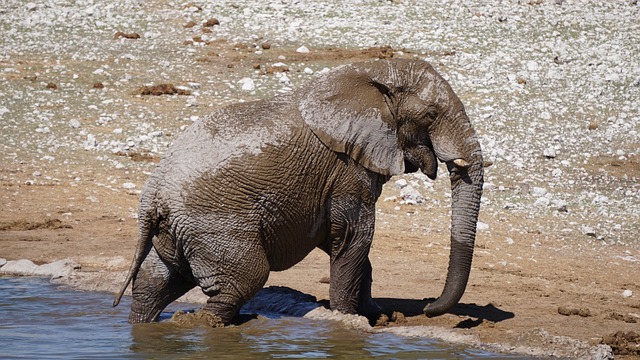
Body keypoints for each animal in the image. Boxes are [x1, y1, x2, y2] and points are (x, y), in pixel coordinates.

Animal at [114, 58, 484, 324]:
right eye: (431, 114)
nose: (429, 308)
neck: (372, 72)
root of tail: (151, 196)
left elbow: (348, 243)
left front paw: (377, 316)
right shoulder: (346, 167)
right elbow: (355, 236)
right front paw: (349, 319)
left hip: (179, 228)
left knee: (155, 281)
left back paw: (142, 324)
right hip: (214, 225)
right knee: (243, 280)